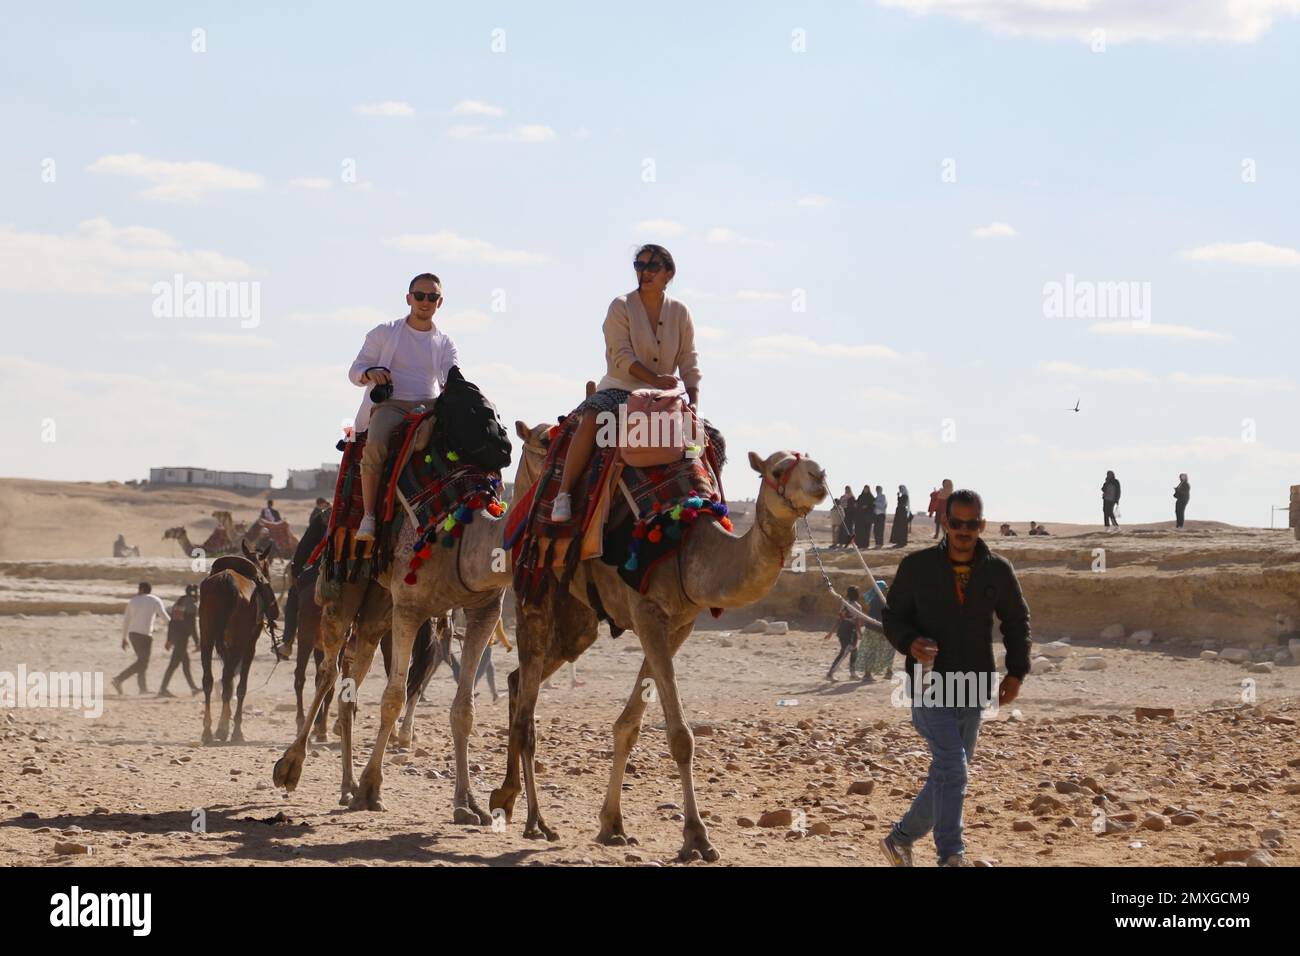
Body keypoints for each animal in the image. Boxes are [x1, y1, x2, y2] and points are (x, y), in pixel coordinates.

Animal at [196, 541, 280, 743]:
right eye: (267, 567)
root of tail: (226, 581)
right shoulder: (249, 645)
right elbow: (240, 685)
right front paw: (234, 730)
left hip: (207, 637)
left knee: (209, 680)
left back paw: (208, 730)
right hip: (238, 643)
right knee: (229, 681)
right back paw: (225, 730)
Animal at [276, 421, 551, 822]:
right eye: (547, 438)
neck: (464, 535)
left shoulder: (485, 611)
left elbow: (464, 709)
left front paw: (467, 804)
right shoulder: (410, 608)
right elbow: (393, 697)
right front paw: (372, 789)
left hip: (378, 606)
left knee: (351, 679)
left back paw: (346, 786)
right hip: (345, 585)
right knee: (327, 672)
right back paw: (291, 767)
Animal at [491, 444, 826, 863]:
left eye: (819, 464)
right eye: (778, 470)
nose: (820, 479)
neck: (688, 548)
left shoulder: (680, 624)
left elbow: (628, 726)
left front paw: (613, 825)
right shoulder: (647, 611)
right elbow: (681, 736)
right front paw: (697, 838)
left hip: (579, 621)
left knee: (518, 679)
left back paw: (506, 797)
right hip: (535, 586)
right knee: (526, 708)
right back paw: (536, 821)